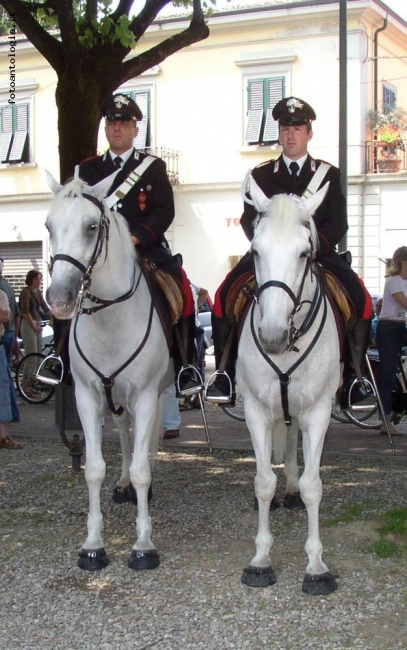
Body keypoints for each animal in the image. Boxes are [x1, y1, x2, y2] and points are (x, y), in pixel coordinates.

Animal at [45, 173, 171, 572]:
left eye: (90, 227)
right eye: (48, 226)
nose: (59, 299)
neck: (110, 319)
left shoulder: (145, 395)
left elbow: (143, 469)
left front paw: (143, 545)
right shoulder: (87, 397)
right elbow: (93, 469)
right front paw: (94, 545)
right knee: (124, 433)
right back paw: (122, 484)